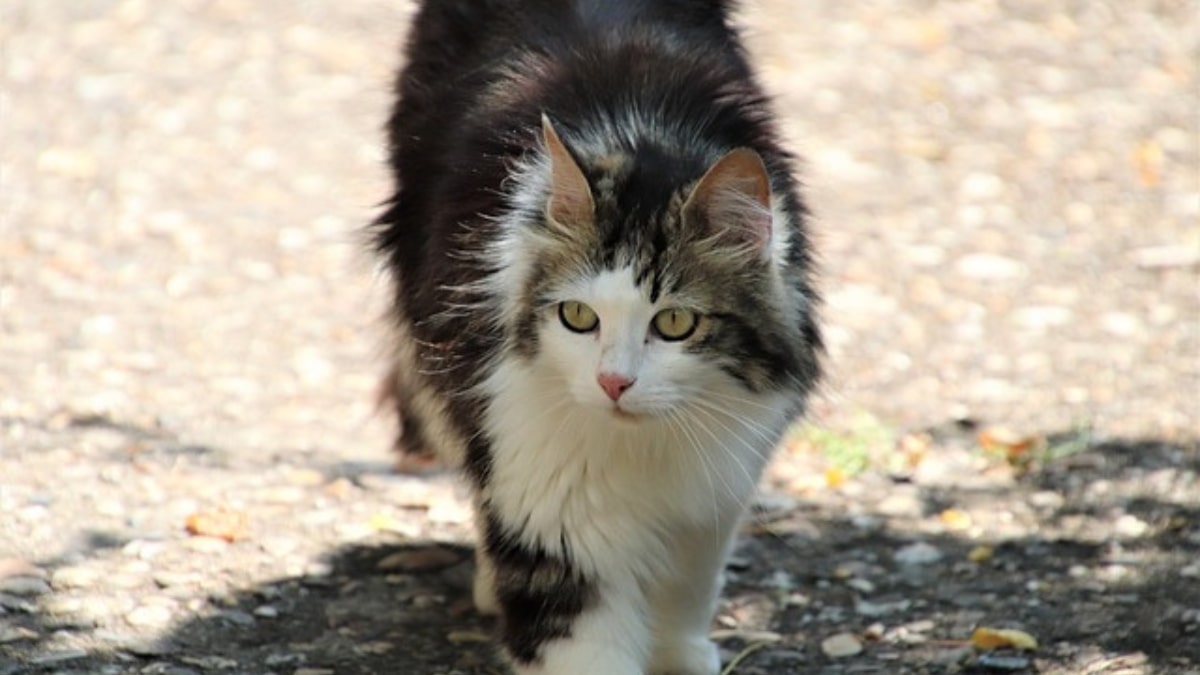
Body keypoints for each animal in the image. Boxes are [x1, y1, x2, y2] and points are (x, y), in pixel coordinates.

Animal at [372, 2, 825, 667]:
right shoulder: (549, 503)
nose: (614, 382)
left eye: (675, 323)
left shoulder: (714, 489)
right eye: (578, 317)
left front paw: (680, 655)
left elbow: (685, 590)